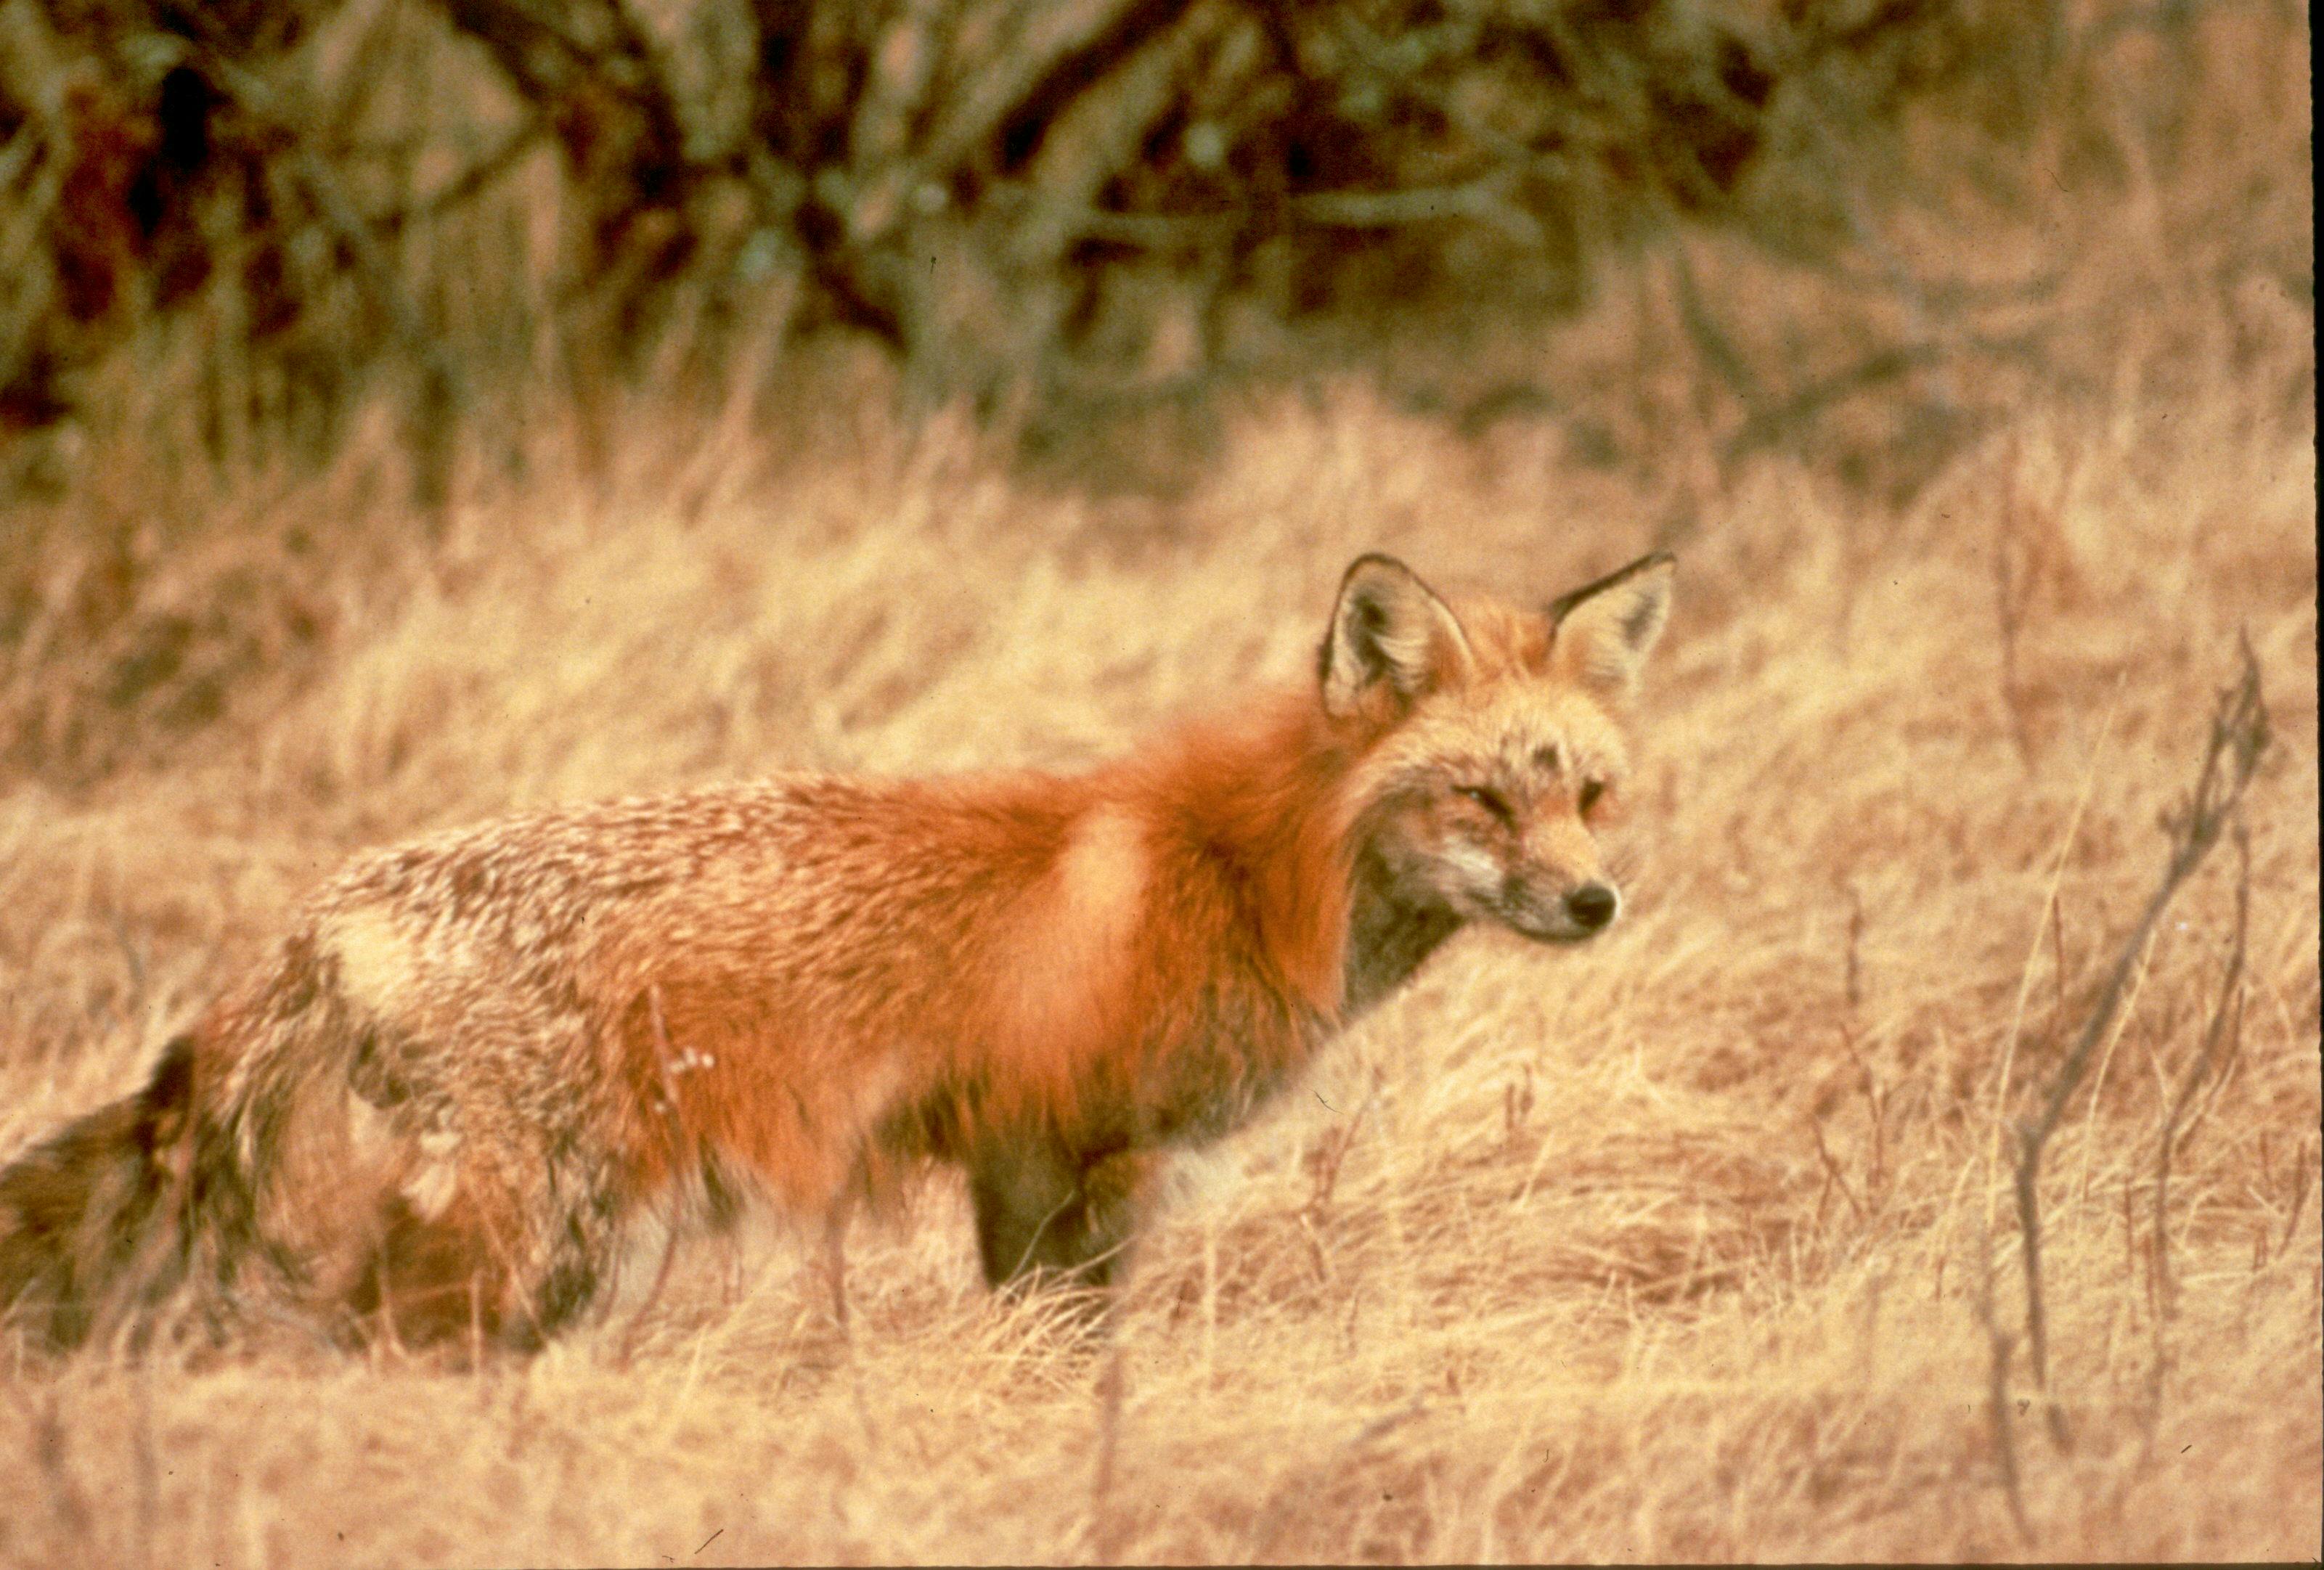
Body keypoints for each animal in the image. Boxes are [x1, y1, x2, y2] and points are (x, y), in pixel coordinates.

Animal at [0, 550, 1674, 1355]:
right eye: (1481, 798)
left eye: (1588, 795)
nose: (1597, 905)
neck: (1237, 868)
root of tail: (314, 914)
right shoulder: (1049, 1150)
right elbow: (1058, 1350)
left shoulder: (1061, 1168)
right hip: (529, 1238)